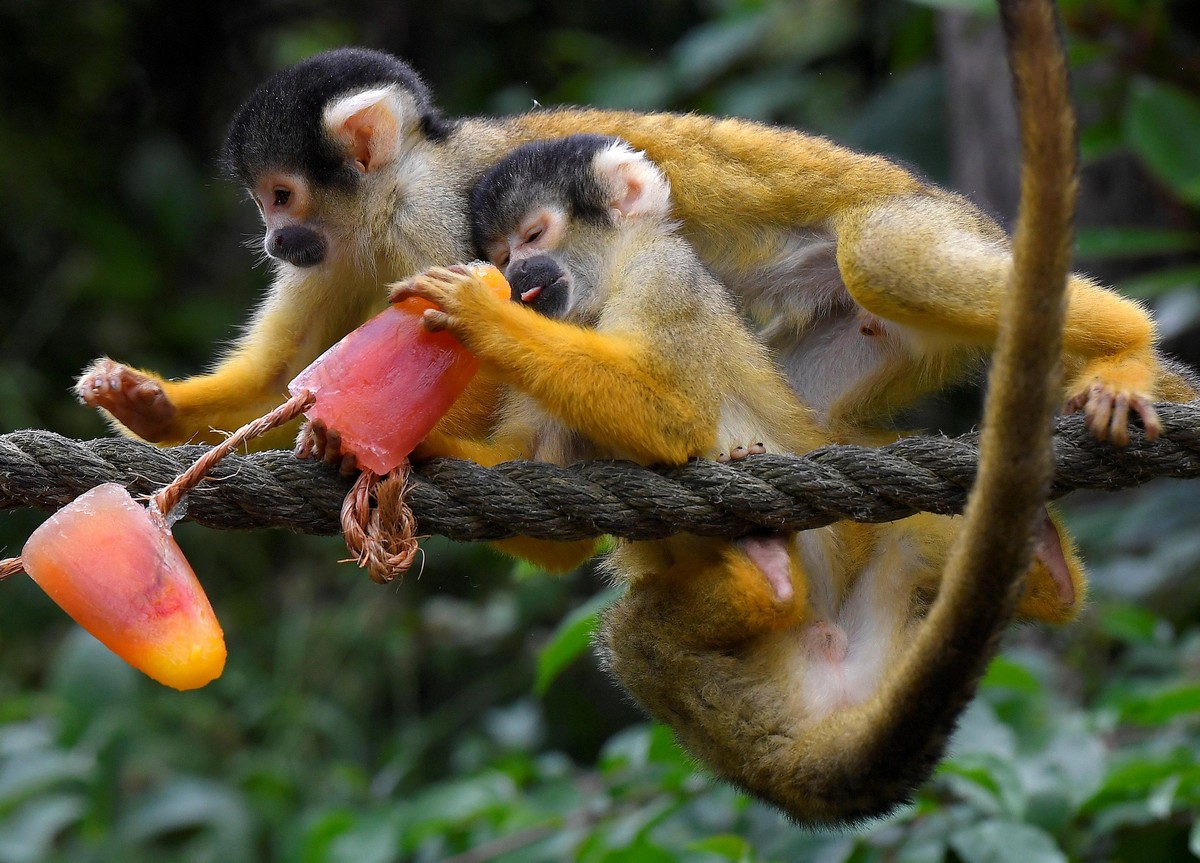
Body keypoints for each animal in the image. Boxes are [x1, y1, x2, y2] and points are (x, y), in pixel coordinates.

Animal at [77, 37, 1190, 448]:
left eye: (279, 193)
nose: (273, 239)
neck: (390, 197)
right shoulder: (344, 247)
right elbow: (283, 374)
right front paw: (149, 402)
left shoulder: (427, 218)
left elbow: (464, 355)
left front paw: (418, 443)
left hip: (922, 224)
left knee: (885, 255)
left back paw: (1125, 345)